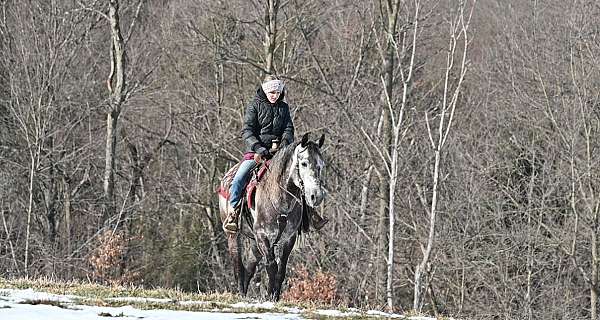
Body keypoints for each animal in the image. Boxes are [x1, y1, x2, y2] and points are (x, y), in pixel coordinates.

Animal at [217, 132, 326, 300]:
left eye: (321, 164)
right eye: (304, 163)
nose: (316, 196)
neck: (279, 198)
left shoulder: (288, 239)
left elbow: (281, 270)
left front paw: (275, 297)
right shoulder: (263, 236)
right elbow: (272, 267)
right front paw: (269, 296)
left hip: (254, 242)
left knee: (249, 267)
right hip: (233, 236)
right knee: (238, 267)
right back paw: (241, 293)